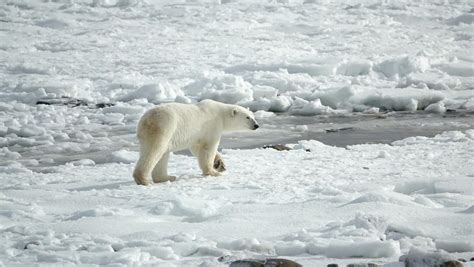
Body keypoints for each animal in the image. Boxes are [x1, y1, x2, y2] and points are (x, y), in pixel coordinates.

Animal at [132, 99, 260, 185]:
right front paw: (213, 172)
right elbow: (208, 148)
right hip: (164, 127)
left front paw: (220, 164)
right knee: (154, 151)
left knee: (162, 154)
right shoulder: (212, 126)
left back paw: (168, 177)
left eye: (253, 116)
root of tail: (145, 120)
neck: (221, 115)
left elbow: (197, 148)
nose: (256, 125)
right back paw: (144, 180)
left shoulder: (197, 135)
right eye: (247, 117)